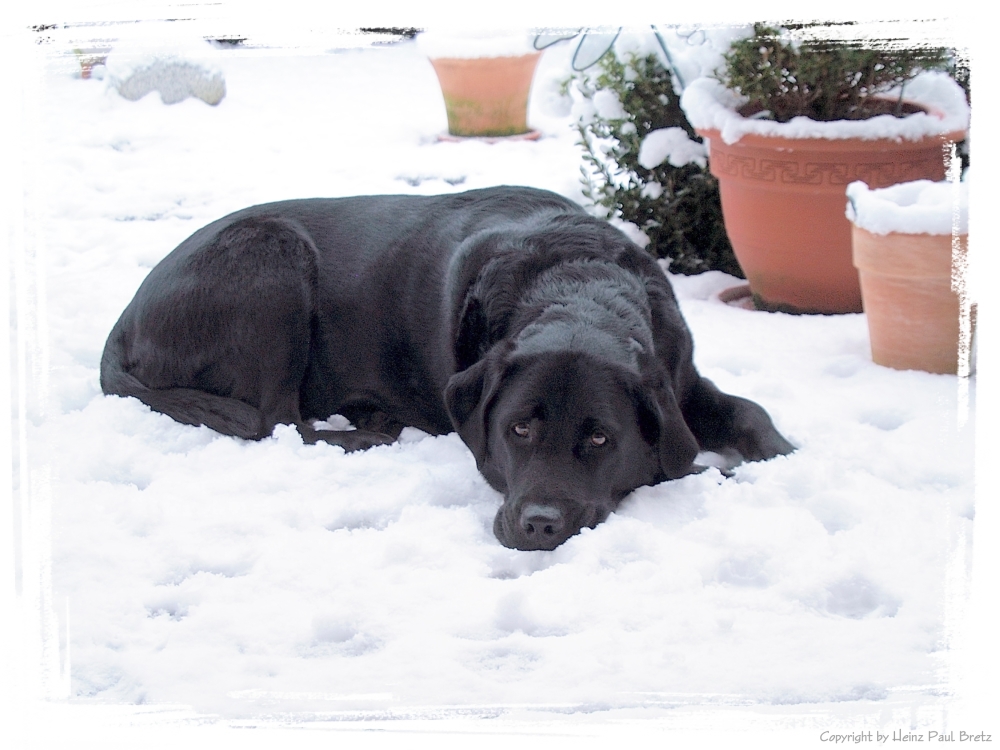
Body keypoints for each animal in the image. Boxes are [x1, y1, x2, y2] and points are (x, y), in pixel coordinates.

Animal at [99, 187, 788, 552]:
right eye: (518, 430)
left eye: (599, 438)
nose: (539, 525)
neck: (575, 284)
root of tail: (122, 322)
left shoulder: (680, 376)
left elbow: (749, 412)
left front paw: (782, 455)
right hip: (275, 255)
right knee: (277, 420)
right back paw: (368, 431)